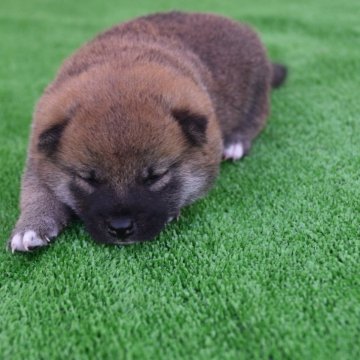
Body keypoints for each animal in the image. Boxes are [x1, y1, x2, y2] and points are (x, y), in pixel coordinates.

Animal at [9, 11, 288, 253]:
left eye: (155, 177)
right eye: (88, 179)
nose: (121, 228)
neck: (120, 63)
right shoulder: (37, 157)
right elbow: (37, 194)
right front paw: (31, 226)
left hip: (257, 92)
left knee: (255, 119)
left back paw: (236, 142)